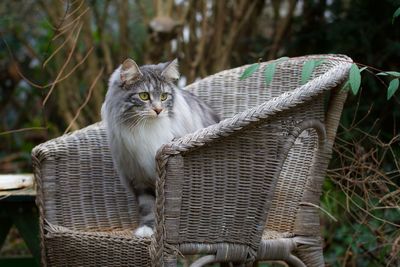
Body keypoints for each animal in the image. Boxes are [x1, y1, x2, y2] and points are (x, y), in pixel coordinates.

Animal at [100, 59, 219, 239]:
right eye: (144, 96)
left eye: (164, 96)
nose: (158, 110)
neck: (147, 129)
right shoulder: (139, 178)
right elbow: (148, 208)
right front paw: (147, 229)